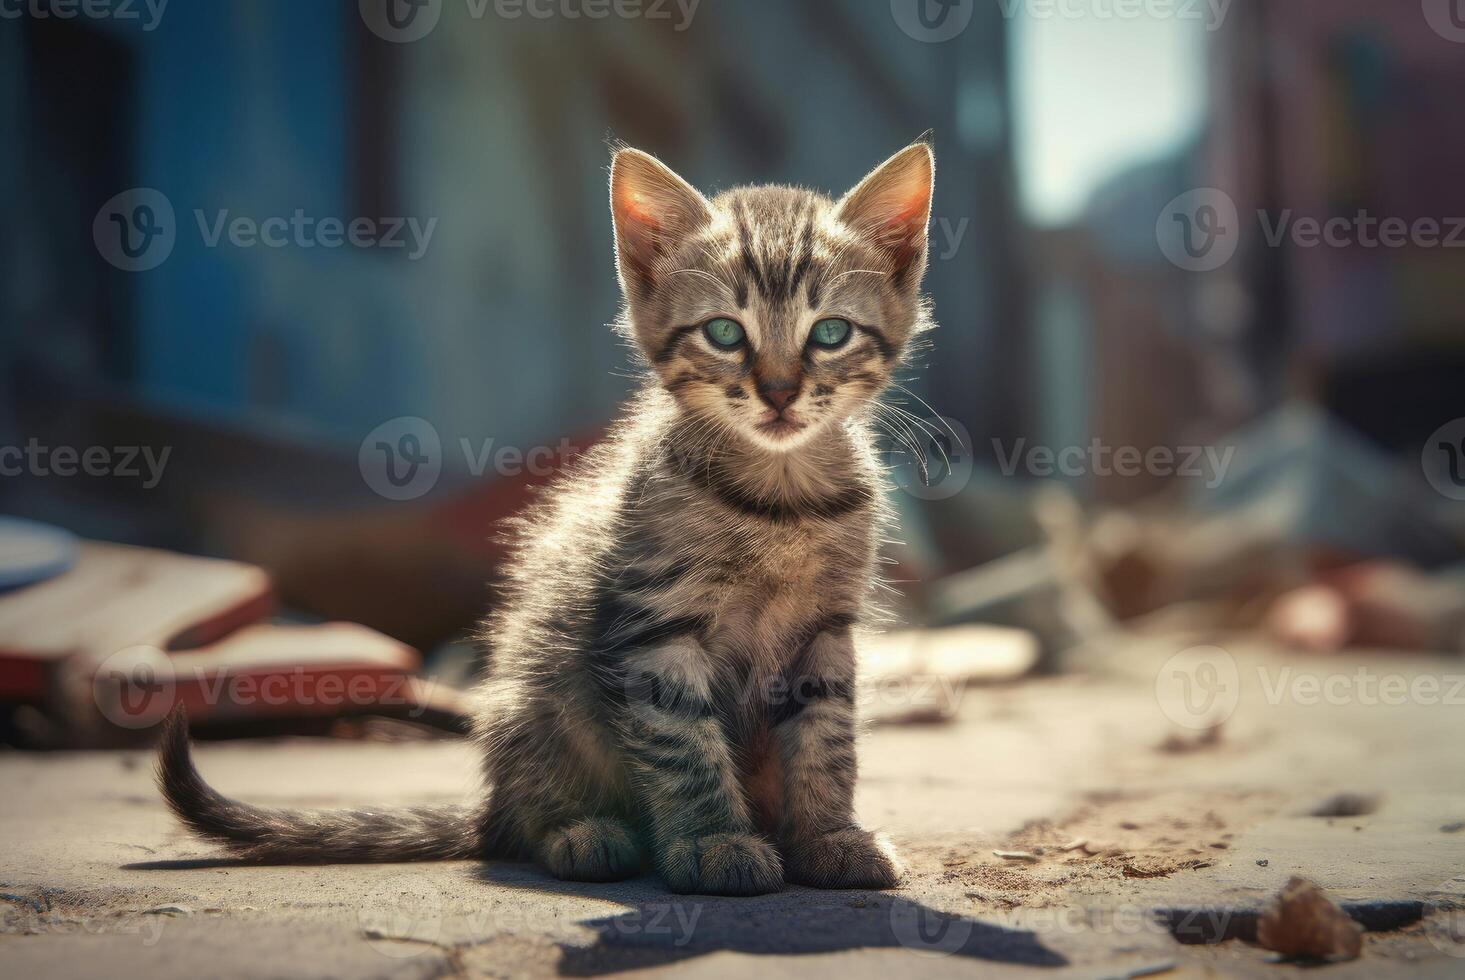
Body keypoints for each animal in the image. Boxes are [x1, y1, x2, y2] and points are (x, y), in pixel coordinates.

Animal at [157, 137, 937, 896]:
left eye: (829, 334)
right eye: (723, 332)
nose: (777, 392)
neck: (780, 499)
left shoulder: (826, 631)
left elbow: (826, 738)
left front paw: (827, 836)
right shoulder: (656, 627)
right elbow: (682, 742)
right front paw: (712, 840)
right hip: (535, 694)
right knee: (532, 811)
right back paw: (581, 833)